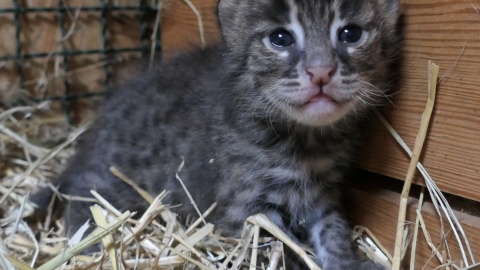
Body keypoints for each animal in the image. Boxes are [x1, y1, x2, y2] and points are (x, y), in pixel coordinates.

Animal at [32, 0, 402, 268]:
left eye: (350, 34)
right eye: (280, 38)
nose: (321, 71)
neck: (308, 141)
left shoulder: (324, 195)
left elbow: (333, 231)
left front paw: (348, 262)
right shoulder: (245, 205)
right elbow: (275, 249)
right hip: (114, 178)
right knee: (86, 195)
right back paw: (88, 245)